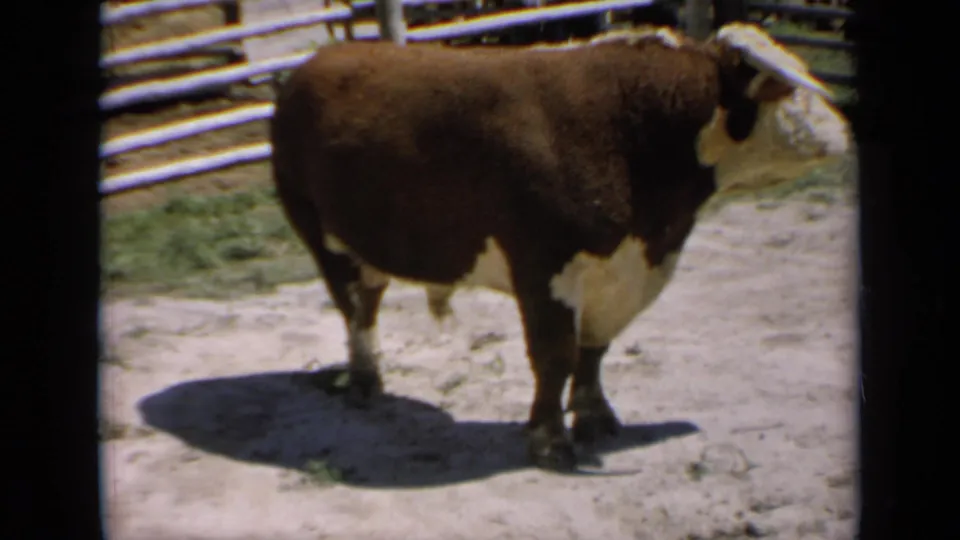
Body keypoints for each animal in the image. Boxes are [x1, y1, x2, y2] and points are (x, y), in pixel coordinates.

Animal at [269, 23, 851, 471]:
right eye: (785, 89)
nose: (846, 130)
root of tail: (316, 61)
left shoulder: (619, 273)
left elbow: (593, 352)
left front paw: (595, 417)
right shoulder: (545, 268)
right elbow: (555, 357)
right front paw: (549, 441)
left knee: (367, 301)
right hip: (320, 233)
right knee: (354, 310)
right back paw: (364, 380)